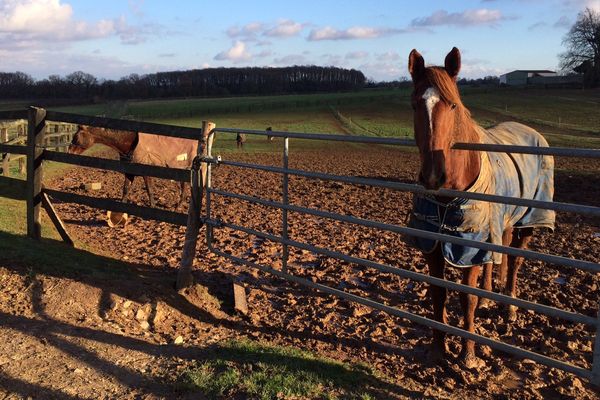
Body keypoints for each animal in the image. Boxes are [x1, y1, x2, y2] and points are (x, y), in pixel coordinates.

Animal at [68, 126, 198, 209]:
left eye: (76, 137)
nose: (69, 151)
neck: (130, 144)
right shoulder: (129, 174)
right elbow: (125, 190)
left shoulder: (146, 174)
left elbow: (150, 191)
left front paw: (153, 206)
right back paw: (179, 205)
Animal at [406, 47, 556, 368]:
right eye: (414, 105)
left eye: (452, 105)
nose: (432, 176)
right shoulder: (433, 245)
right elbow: (438, 293)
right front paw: (438, 349)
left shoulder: (469, 246)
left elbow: (467, 298)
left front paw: (468, 354)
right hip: (501, 225)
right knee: (498, 255)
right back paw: (490, 294)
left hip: (529, 222)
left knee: (514, 261)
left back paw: (509, 308)